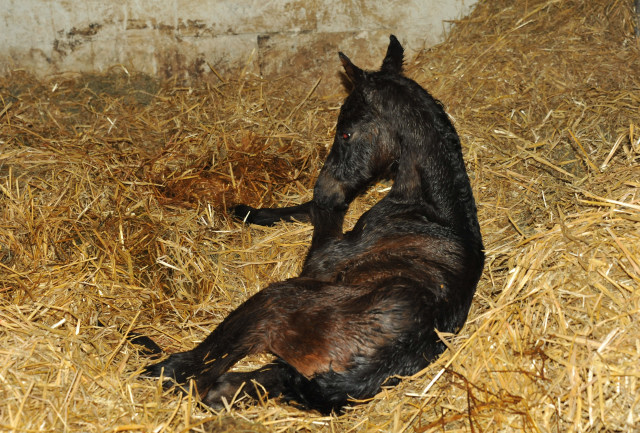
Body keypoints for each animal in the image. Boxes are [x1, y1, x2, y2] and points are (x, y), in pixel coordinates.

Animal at [146, 35, 484, 414]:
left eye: (346, 133)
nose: (325, 188)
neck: (435, 207)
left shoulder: (322, 263)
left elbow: (323, 219)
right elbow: (314, 211)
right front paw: (249, 211)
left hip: (279, 299)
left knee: (195, 374)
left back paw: (152, 358)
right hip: (281, 369)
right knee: (223, 388)